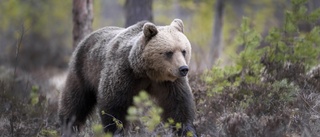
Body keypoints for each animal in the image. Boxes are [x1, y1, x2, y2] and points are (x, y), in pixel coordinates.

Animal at [58, 19, 196, 136]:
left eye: (184, 51)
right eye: (169, 52)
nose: (183, 69)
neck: (146, 71)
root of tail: (86, 38)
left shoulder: (169, 82)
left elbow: (178, 104)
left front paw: (186, 130)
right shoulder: (123, 72)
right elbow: (114, 104)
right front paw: (117, 131)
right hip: (83, 69)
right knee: (75, 100)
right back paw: (68, 126)